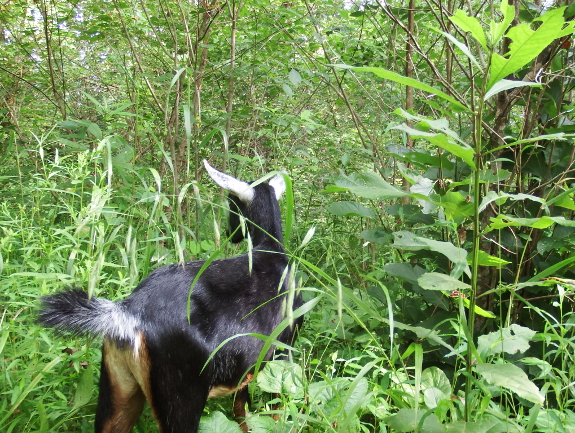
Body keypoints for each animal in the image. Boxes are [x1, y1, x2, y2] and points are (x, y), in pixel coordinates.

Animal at [38, 161, 304, 432]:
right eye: (232, 202)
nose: (232, 232)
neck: (270, 251)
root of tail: (128, 312)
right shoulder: (281, 349)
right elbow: (272, 407)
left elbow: (243, 411)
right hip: (181, 394)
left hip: (118, 386)